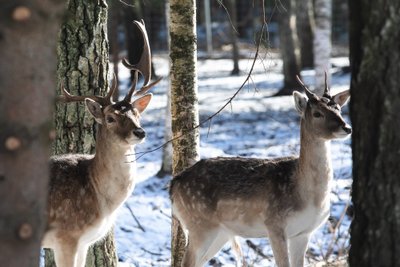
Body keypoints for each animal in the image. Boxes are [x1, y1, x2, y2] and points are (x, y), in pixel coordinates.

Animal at [170, 76, 352, 267]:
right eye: (317, 113)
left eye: (339, 109)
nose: (346, 127)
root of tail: (173, 184)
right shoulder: (274, 224)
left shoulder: (303, 233)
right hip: (199, 223)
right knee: (185, 262)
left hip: (220, 232)